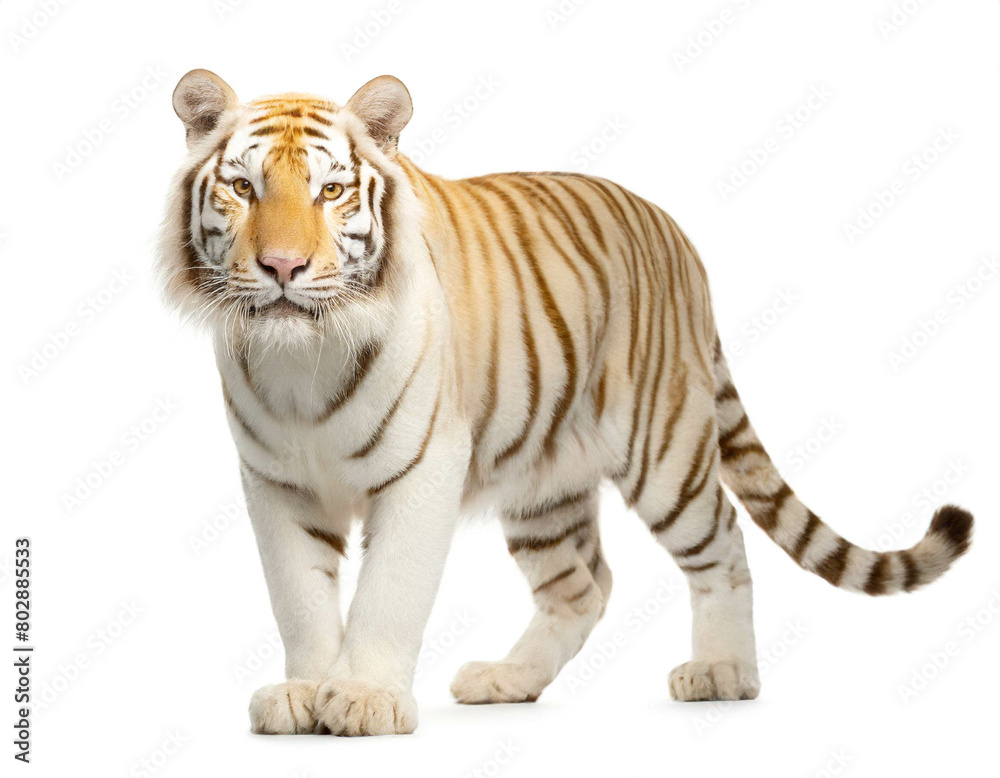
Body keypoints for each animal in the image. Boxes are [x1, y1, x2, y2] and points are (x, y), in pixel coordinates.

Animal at [158, 69, 974, 737]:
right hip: (540, 481)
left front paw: (363, 698)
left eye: (330, 191)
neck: (303, 357)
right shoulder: (276, 482)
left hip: (666, 449)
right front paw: (304, 692)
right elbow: (298, 597)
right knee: (583, 586)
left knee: (724, 543)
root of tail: (678, 236)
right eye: (244, 188)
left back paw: (724, 672)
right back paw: (509, 680)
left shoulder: (423, 468)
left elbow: (389, 591)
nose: (283, 266)